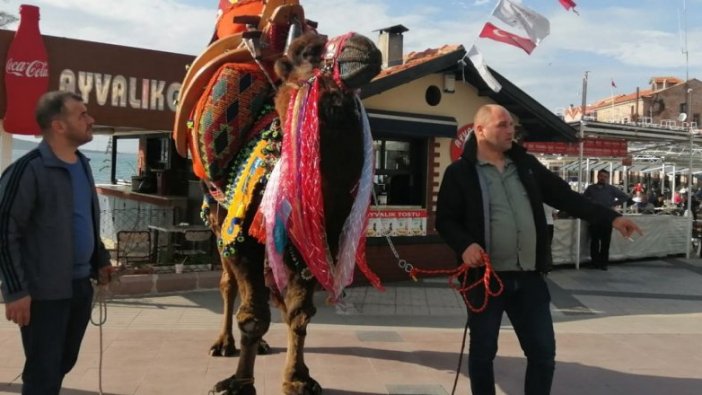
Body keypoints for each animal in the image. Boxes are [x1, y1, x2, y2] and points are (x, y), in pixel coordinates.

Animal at [175, 2, 384, 392]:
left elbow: (300, 313)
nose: (365, 47)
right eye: (307, 52)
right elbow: (253, 315)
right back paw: (224, 344)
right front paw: (240, 382)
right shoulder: (241, 237)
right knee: (229, 285)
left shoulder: (320, 242)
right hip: (218, 217)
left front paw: (297, 378)